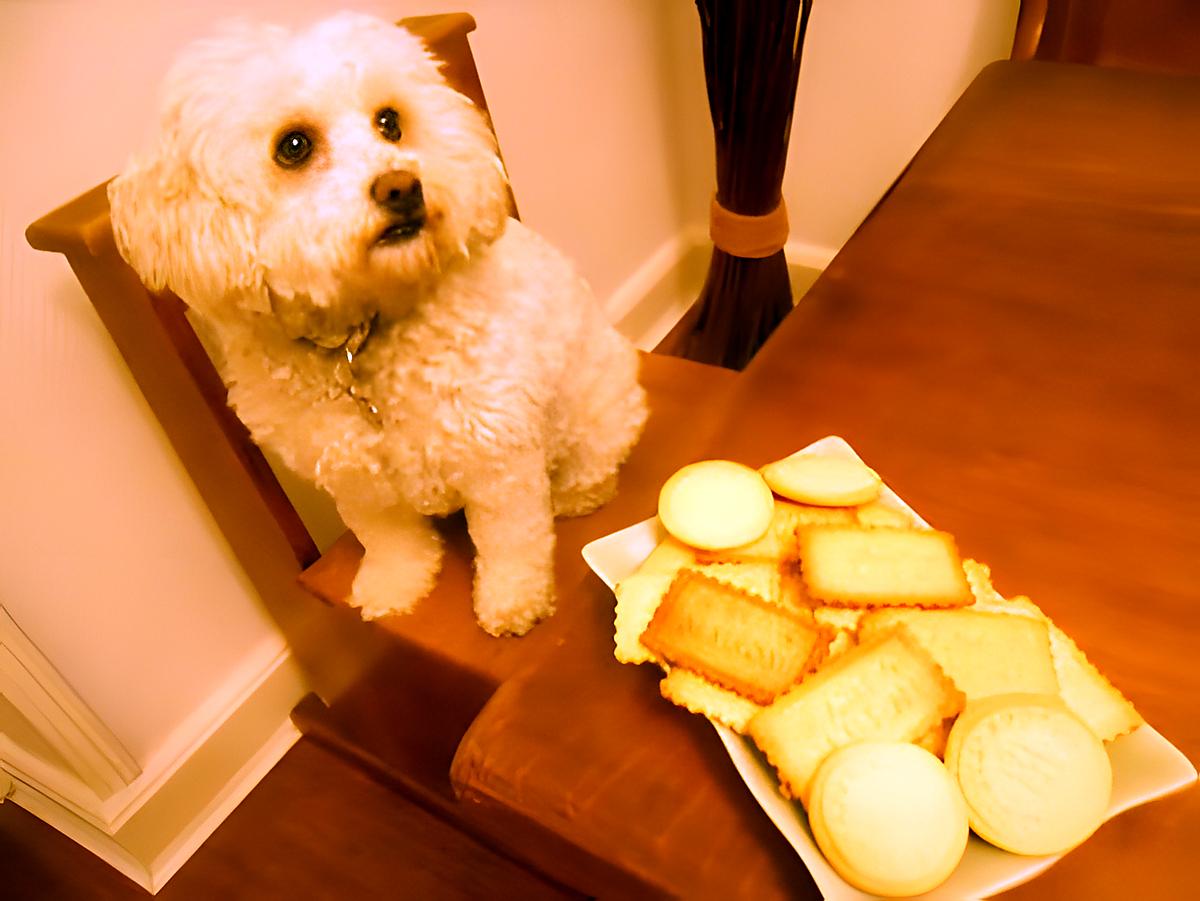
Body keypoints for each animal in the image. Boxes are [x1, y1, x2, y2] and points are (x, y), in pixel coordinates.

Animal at [110, 12, 648, 633]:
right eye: (293, 146)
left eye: (389, 121)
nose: (402, 186)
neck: (360, 338)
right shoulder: (355, 479)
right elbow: (391, 542)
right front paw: (395, 587)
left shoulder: (497, 456)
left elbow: (512, 541)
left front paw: (511, 602)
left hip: (598, 407)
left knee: (595, 458)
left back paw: (581, 493)